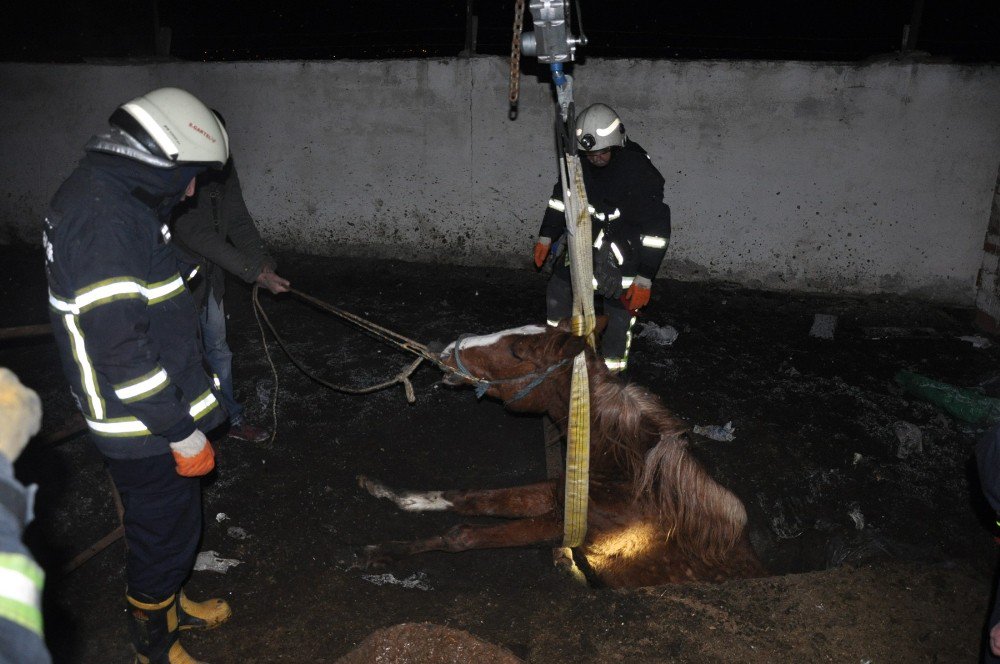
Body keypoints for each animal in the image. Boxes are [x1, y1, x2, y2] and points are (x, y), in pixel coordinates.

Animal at [360, 322, 764, 588]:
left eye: (517, 352)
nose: (443, 352)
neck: (628, 478)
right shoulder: (556, 495)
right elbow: (469, 499)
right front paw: (397, 496)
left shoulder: (566, 527)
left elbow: (463, 534)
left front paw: (387, 551)